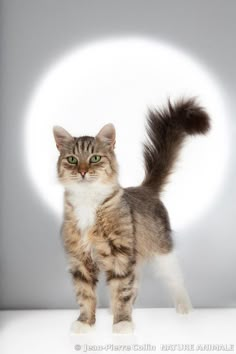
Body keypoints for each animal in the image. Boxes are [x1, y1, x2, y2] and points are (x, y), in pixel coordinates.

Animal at [52, 98, 209, 334]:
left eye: (94, 158)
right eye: (72, 159)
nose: (82, 171)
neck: (88, 201)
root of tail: (145, 188)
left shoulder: (121, 254)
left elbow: (122, 290)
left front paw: (123, 322)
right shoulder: (80, 258)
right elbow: (85, 295)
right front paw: (85, 322)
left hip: (163, 252)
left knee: (175, 280)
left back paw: (184, 308)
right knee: (135, 284)